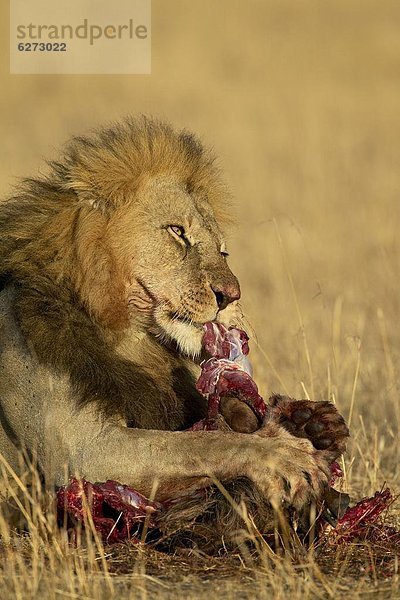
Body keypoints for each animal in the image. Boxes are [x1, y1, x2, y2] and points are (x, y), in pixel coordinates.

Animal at [0, 116, 348, 548]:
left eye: (222, 250)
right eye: (177, 232)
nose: (231, 295)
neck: (129, 337)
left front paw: (311, 423)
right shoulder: (84, 453)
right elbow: (198, 444)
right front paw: (285, 455)